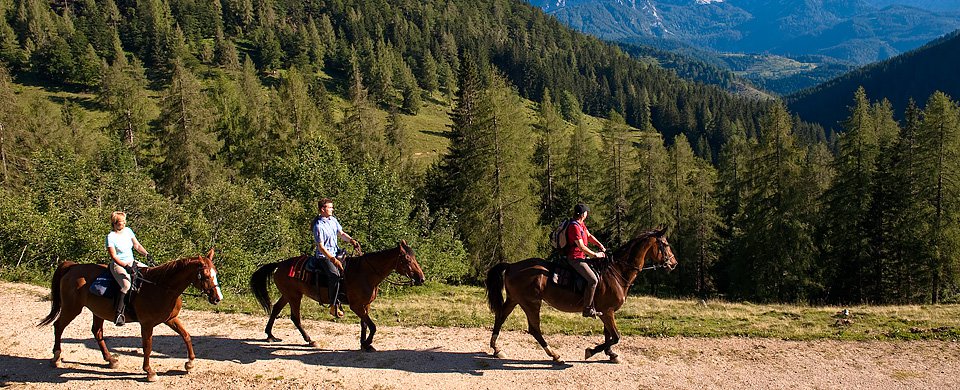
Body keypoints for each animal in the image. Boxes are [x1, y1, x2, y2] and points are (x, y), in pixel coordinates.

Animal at [38, 250, 223, 380]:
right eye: (206, 275)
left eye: (215, 273)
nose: (217, 297)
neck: (161, 287)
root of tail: (72, 267)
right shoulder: (147, 324)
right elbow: (147, 346)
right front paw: (149, 372)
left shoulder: (170, 319)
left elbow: (186, 336)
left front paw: (190, 363)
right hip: (72, 308)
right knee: (59, 326)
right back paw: (56, 357)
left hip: (97, 311)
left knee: (97, 332)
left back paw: (110, 360)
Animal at [251, 239, 424, 352]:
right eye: (407, 259)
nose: (421, 278)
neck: (366, 273)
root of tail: (279, 264)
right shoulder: (356, 306)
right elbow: (373, 326)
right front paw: (368, 342)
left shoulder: (365, 305)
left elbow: (364, 324)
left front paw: (364, 344)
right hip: (294, 296)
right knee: (295, 317)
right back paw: (309, 340)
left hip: (288, 294)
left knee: (275, 309)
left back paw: (270, 335)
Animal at [488, 227, 676, 364]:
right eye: (666, 245)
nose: (674, 263)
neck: (616, 271)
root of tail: (512, 265)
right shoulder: (607, 311)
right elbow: (615, 336)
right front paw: (591, 351)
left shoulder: (605, 312)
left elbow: (608, 335)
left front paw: (611, 354)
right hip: (531, 303)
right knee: (534, 329)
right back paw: (554, 355)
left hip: (514, 299)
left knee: (501, 317)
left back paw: (497, 349)